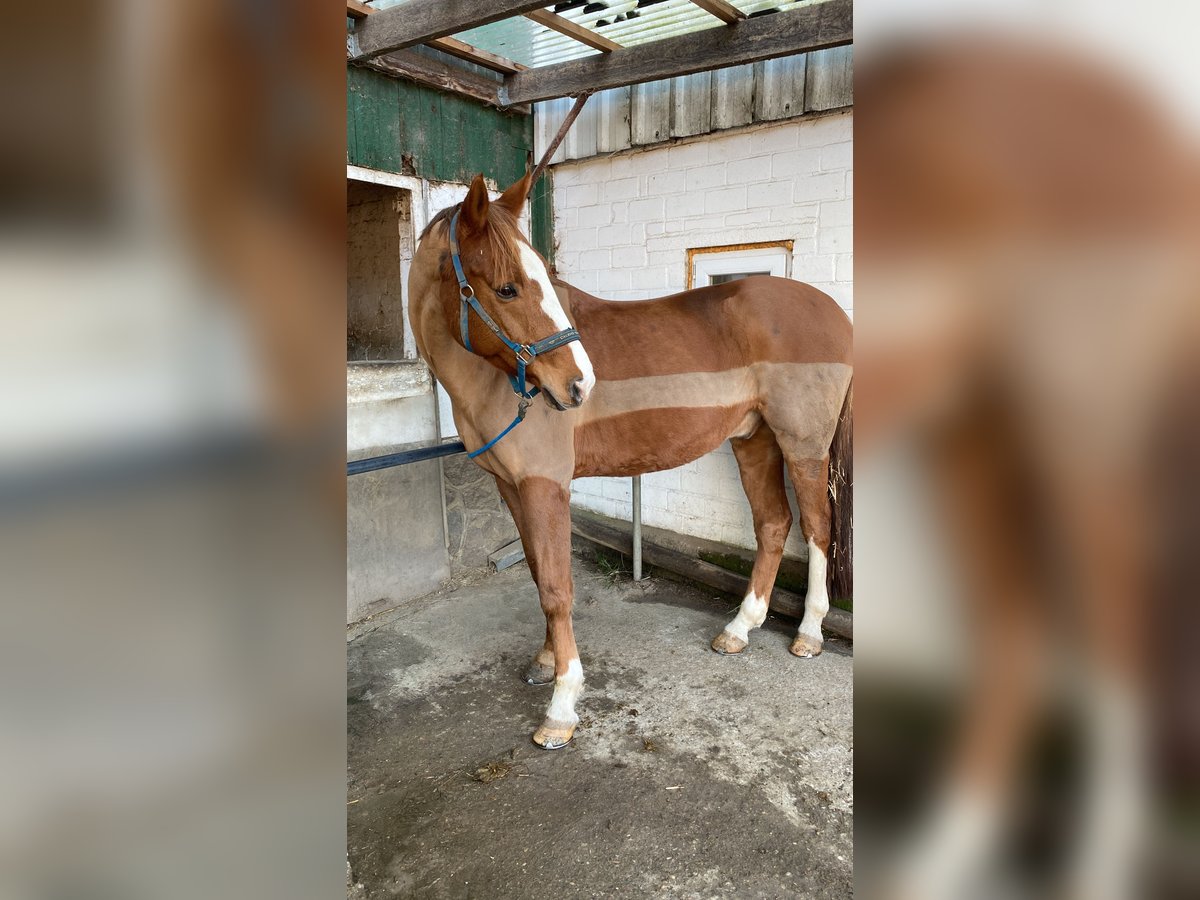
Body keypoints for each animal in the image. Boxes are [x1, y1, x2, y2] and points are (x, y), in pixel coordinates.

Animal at [410, 172, 854, 748]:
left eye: (544, 278)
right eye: (507, 287)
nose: (580, 384)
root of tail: (836, 313)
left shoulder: (544, 484)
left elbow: (557, 587)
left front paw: (562, 705)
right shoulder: (512, 486)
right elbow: (536, 571)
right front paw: (545, 661)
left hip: (802, 445)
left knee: (817, 527)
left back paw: (809, 633)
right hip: (753, 438)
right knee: (774, 523)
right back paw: (739, 629)